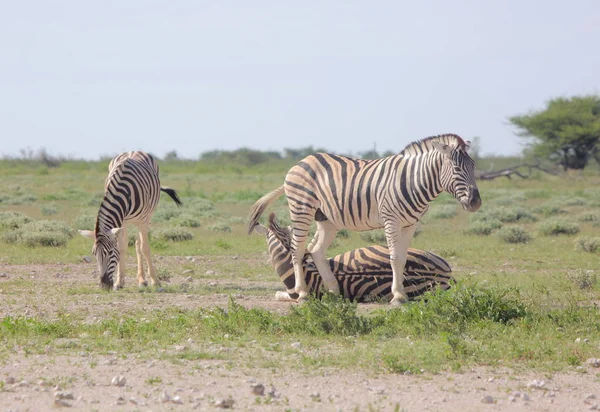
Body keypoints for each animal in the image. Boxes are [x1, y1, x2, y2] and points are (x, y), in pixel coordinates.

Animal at [79, 151, 183, 290]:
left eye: (110, 252)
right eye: (94, 253)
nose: (104, 286)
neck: (122, 191)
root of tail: (133, 151)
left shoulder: (142, 221)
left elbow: (144, 248)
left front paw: (155, 281)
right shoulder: (121, 222)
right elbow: (122, 247)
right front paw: (119, 282)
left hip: (147, 217)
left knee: (139, 244)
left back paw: (142, 280)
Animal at [246, 134, 480, 304]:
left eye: (474, 166)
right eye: (457, 168)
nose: (476, 202)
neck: (413, 181)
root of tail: (302, 161)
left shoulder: (410, 224)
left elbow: (403, 258)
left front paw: (400, 294)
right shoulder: (391, 220)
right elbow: (395, 258)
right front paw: (398, 297)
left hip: (326, 218)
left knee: (316, 251)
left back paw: (333, 291)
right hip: (301, 208)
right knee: (297, 249)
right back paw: (303, 294)